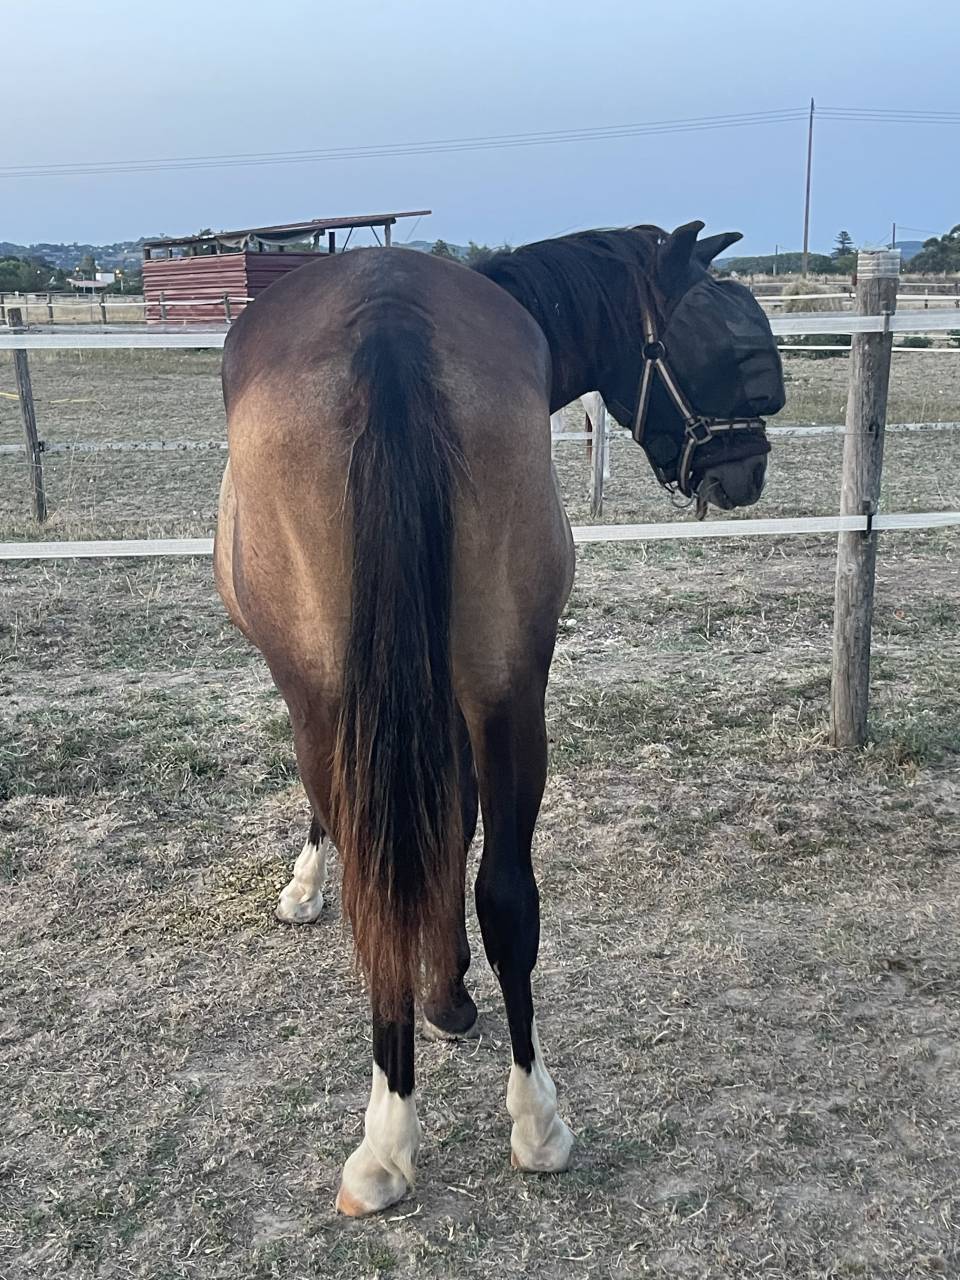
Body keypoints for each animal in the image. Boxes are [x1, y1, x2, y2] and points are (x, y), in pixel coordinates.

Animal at [213, 221, 785, 1216]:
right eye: (736, 348)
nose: (745, 468)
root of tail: (390, 318)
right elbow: (448, 839)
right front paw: (440, 986)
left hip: (360, 696)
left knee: (392, 895)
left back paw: (397, 1138)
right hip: (507, 688)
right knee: (507, 897)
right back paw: (523, 1123)